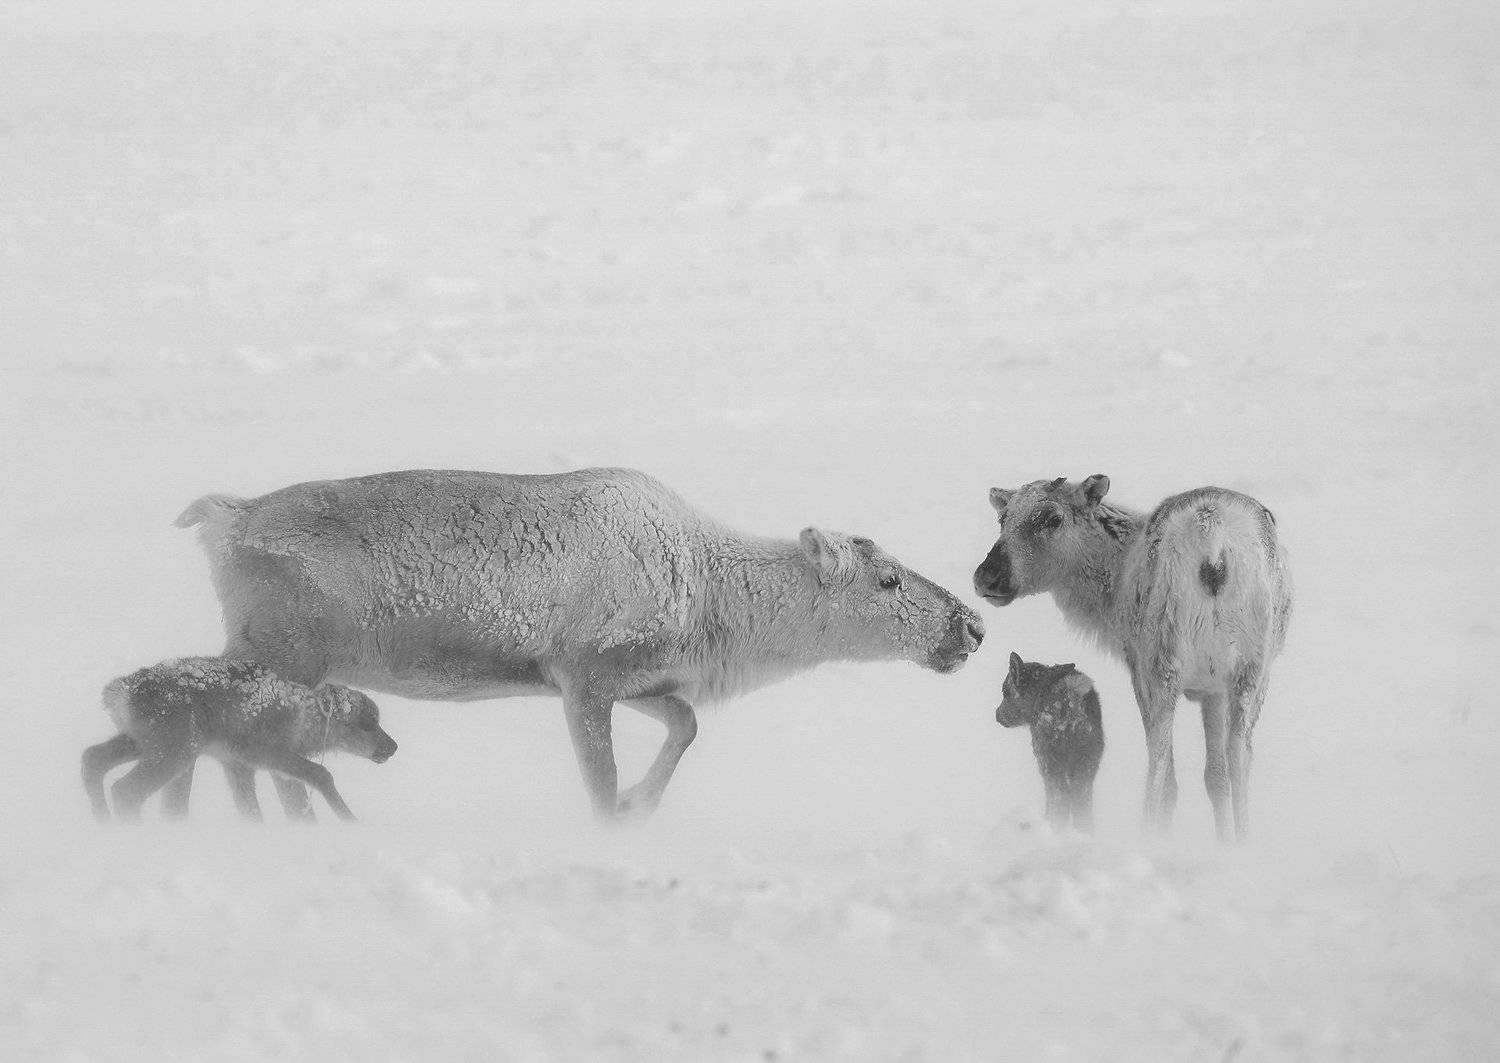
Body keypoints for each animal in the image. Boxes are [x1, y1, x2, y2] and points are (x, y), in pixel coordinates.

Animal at [973, 476, 1291, 842]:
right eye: (1003, 518)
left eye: (1054, 518)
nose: (987, 576)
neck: (1112, 586)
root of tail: (1211, 535)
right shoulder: (1213, 688)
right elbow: (1216, 777)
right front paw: (1225, 842)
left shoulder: (1136, 665)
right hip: (1254, 668)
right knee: (1240, 757)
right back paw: (1244, 840)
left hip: (1163, 660)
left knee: (1160, 765)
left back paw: (1147, 835)